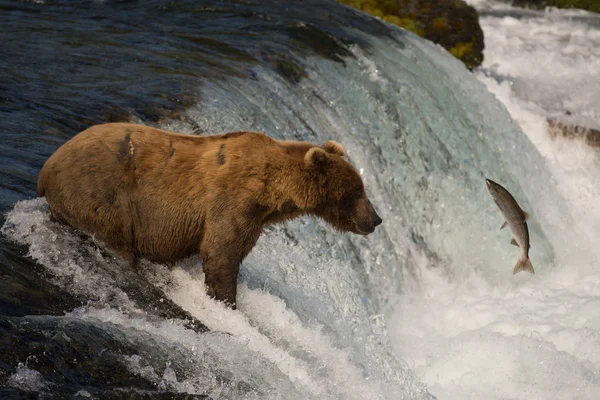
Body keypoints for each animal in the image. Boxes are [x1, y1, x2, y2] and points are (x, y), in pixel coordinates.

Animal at [37, 122, 382, 306]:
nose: (376, 219)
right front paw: (227, 301)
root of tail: (47, 167)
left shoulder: (254, 214)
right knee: (117, 243)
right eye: (358, 191)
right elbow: (221, 253)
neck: (273, 190)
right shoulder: (233, 201)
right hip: (100, 196)